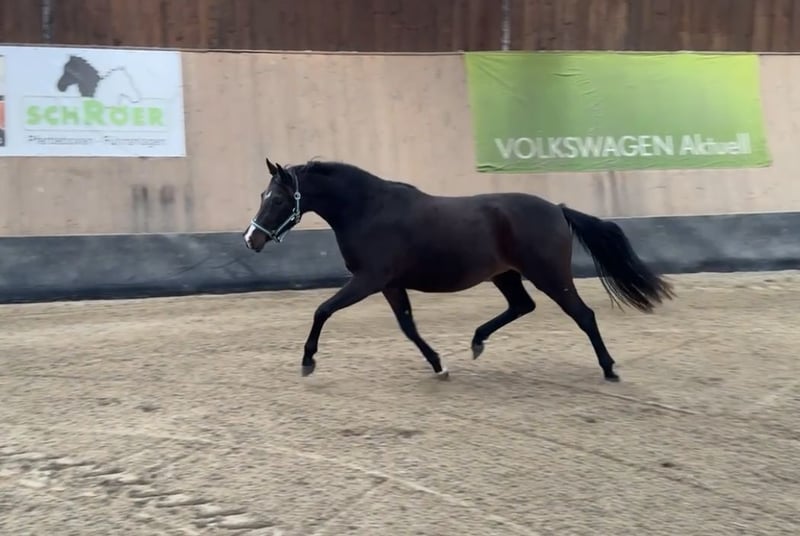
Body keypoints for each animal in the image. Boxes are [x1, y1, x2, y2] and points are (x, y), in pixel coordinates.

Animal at [243, 157, 675, 382]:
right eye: (262, 195)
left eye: (278, 199)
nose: (251, 240)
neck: (368, 210)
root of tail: (557, 209)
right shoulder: (389, 285)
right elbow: (408, 326)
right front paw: (439, 365)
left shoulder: (368, 280)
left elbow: (322, 310)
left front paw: (308, 361)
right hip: (506, 274)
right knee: (522, 306)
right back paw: (477, 341)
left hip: (550, 274)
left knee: (583, 315)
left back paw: (609, 368)